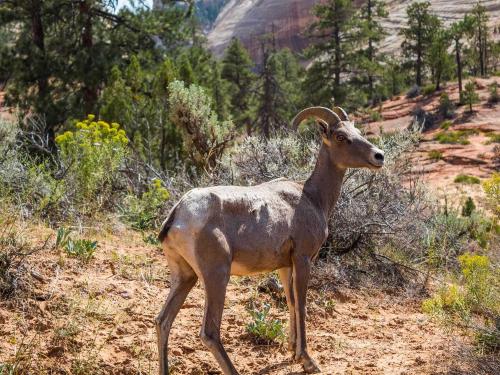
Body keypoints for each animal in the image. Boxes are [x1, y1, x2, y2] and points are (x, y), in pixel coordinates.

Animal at [155, 106, 382, 375]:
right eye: (340, 137)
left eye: (357, 131)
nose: (378, 156)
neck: (312, 197)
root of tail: (179, 213)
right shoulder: (303, 259)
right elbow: (302, 305)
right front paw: (308, 360)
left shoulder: (285, 266)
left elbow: (291, 302)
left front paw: (293, 352)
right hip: (216, 276)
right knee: (209, 332)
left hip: (185, 276)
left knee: (163, 321)